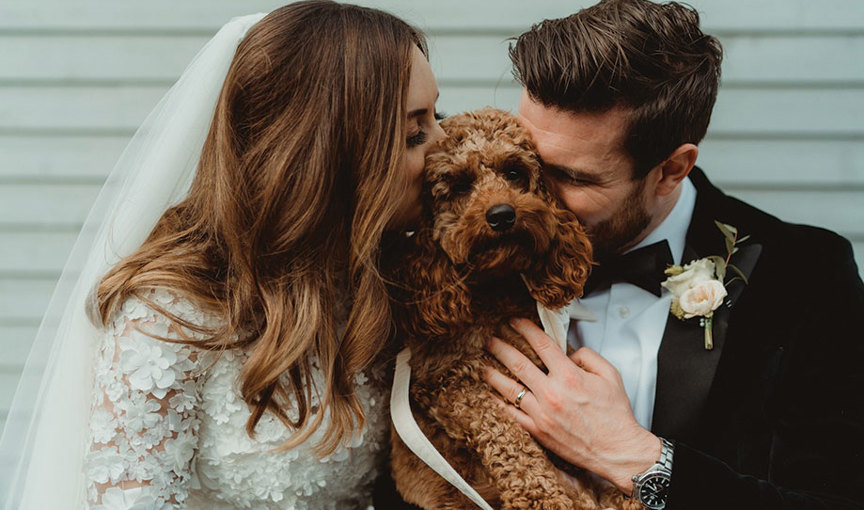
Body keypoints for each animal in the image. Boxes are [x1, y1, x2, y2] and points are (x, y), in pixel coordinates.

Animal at [388, 107, 636, 510]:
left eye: (515, 173)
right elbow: (509, 439)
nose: (502, 214)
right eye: (460, 186)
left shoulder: (557, 358)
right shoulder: (450, 385)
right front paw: (543, 497)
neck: (495, 293)